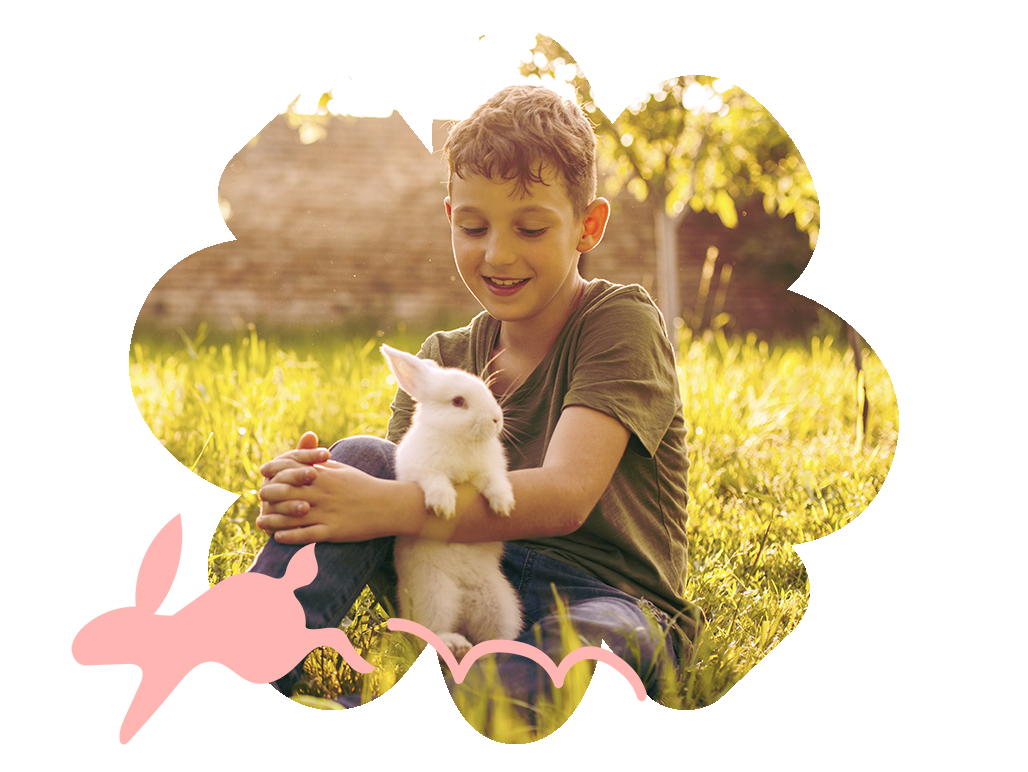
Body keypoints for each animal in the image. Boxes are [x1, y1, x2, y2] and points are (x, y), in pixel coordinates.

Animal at [380, 343, 522, 657]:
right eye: (458, 402)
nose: (496, 420)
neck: (461, 440)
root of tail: (465, 598)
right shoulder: (420, 470)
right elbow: (435, 481)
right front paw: (444, 506)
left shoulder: (489, 470)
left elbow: (494, 480)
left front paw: (503, 504)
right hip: (435, 594)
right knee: (432, 632)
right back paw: (454, 643)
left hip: (500, 603)